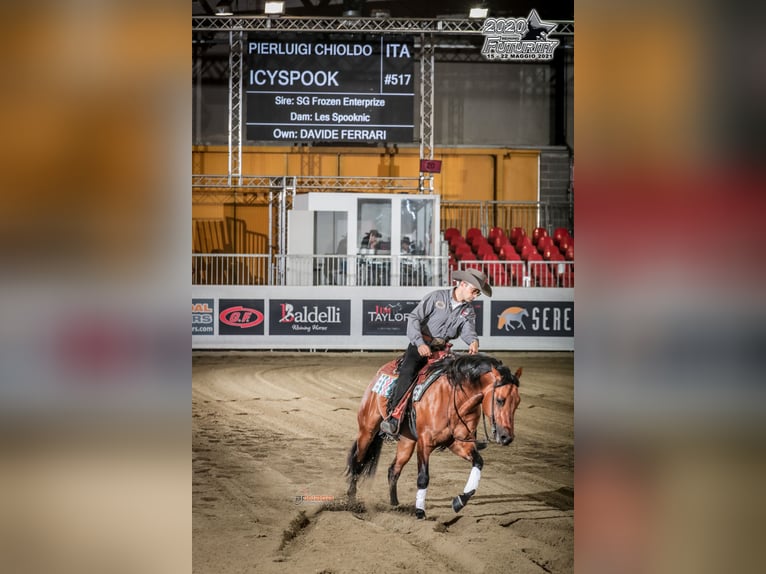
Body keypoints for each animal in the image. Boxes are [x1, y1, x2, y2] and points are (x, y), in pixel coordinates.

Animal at [346, 354, 520, 520]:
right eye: (500, 400)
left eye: (517, 403)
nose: (507, 437)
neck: (453, 398)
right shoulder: (425, 442)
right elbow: (423, 477)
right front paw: (420, 512)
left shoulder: (457, 442)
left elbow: (478, 462)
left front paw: (459, 501)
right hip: (367, 430)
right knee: (358, 462)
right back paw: (351, 501)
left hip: (407, 442)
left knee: (393, 470)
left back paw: (395, 505)